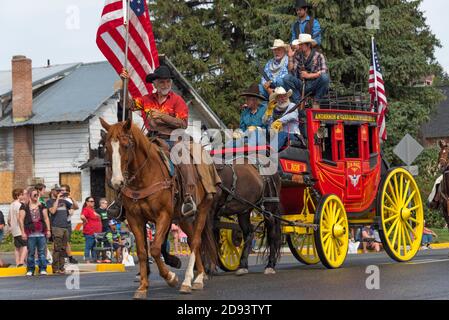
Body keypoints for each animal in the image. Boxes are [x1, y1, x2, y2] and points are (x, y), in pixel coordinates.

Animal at [99, 118, 217, 300]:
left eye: (126, 145)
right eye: (107, 147)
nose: (117, 182)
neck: (143, 178)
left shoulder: (164, 215)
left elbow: (155, 249)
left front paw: (171, 277)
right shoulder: (135, 219)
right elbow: (142, 252)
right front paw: (142, 287)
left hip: (203, 208)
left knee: (196, 241)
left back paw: (189, 281)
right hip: (182, 218)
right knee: (191, 240)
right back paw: (198, 276)